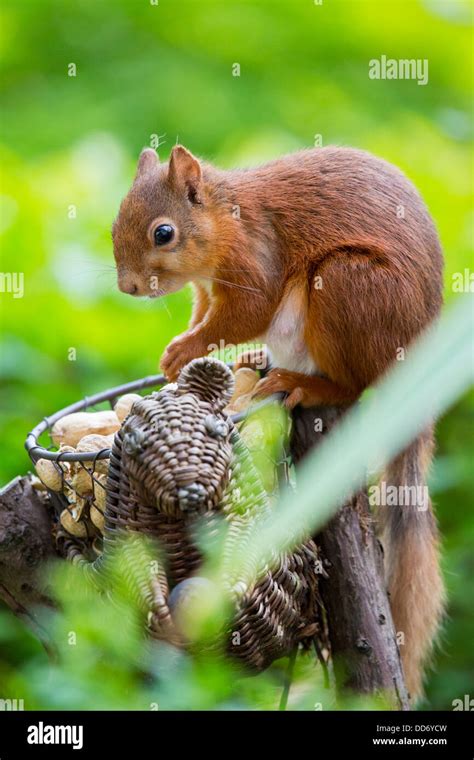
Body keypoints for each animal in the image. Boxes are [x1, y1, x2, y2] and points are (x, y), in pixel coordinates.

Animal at [114, 144, 444, 700]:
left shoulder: (255, 262)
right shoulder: (207, 292)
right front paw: (181, 357)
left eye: (163, 233)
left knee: (354, 385)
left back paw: (306, 384)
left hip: (346, 286)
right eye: (117, 219)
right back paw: (259, 364)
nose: (128, 287)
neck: (225, 219)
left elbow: (246, 312)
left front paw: (182, 351)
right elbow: (204, 315)